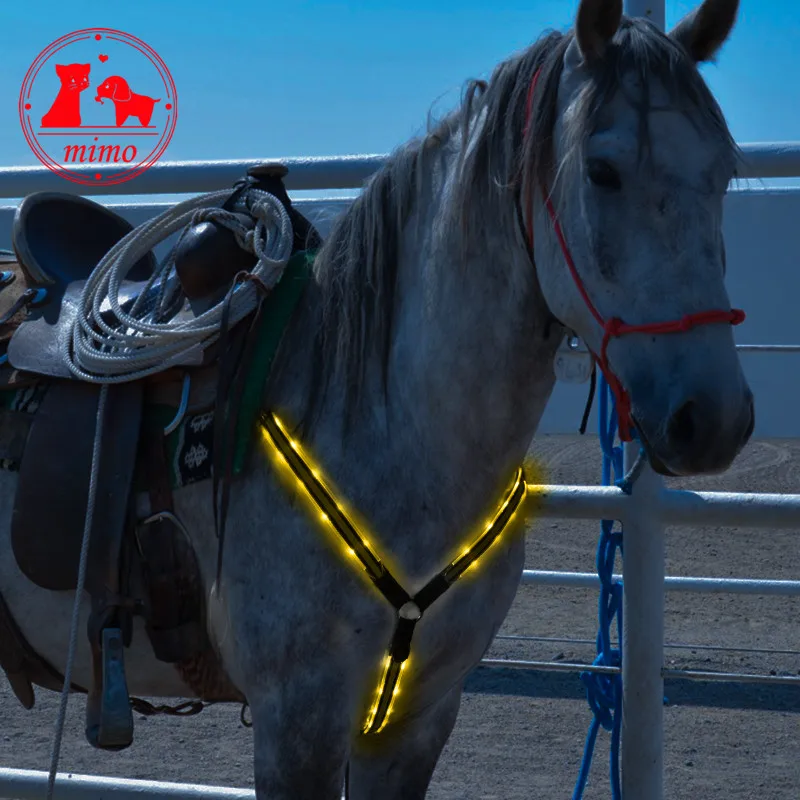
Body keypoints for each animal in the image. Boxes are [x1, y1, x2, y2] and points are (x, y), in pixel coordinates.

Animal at [0, 0, 753, 796]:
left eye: (722, 172)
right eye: (602, 171)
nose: (712, 419)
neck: (386, 433)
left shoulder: (417, 716)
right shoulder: (299, 719)